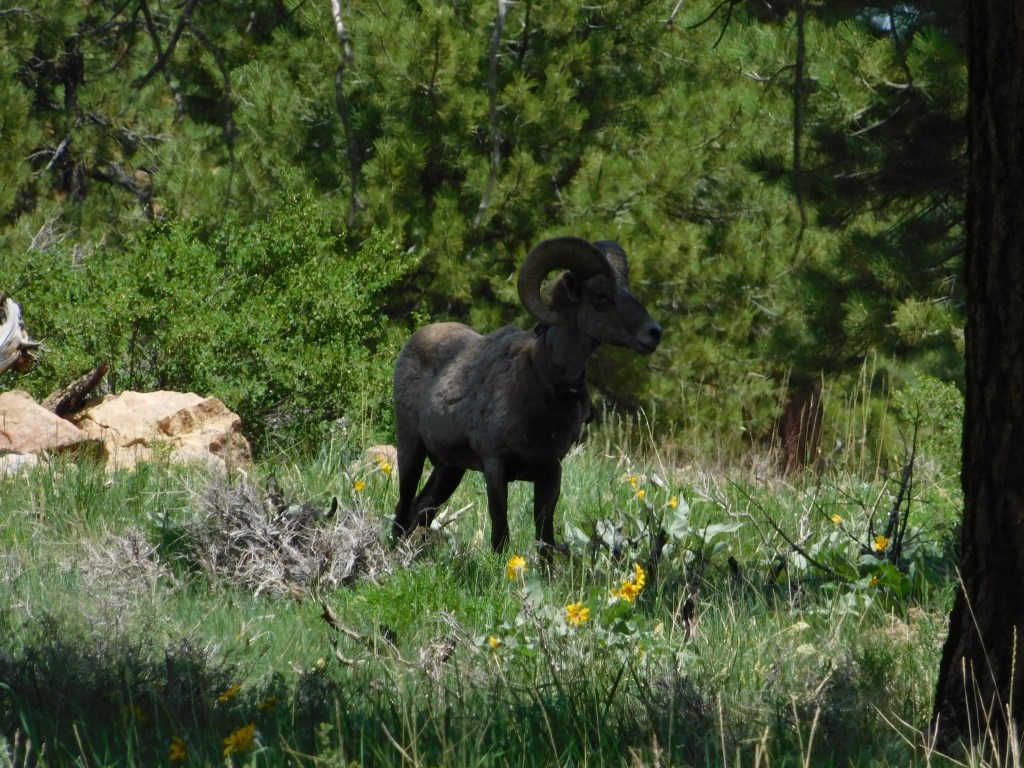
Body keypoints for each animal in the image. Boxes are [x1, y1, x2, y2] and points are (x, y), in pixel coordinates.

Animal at [392, 236, 662, 552]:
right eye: (600, 296)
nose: (654, 333)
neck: (540, 388)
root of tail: (414, 340)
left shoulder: (550, 475)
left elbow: (545, 541)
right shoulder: (496, 468)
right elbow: (501, 536)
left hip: (450, 470)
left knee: (420, 510)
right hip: (411, 451)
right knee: (402, 512)